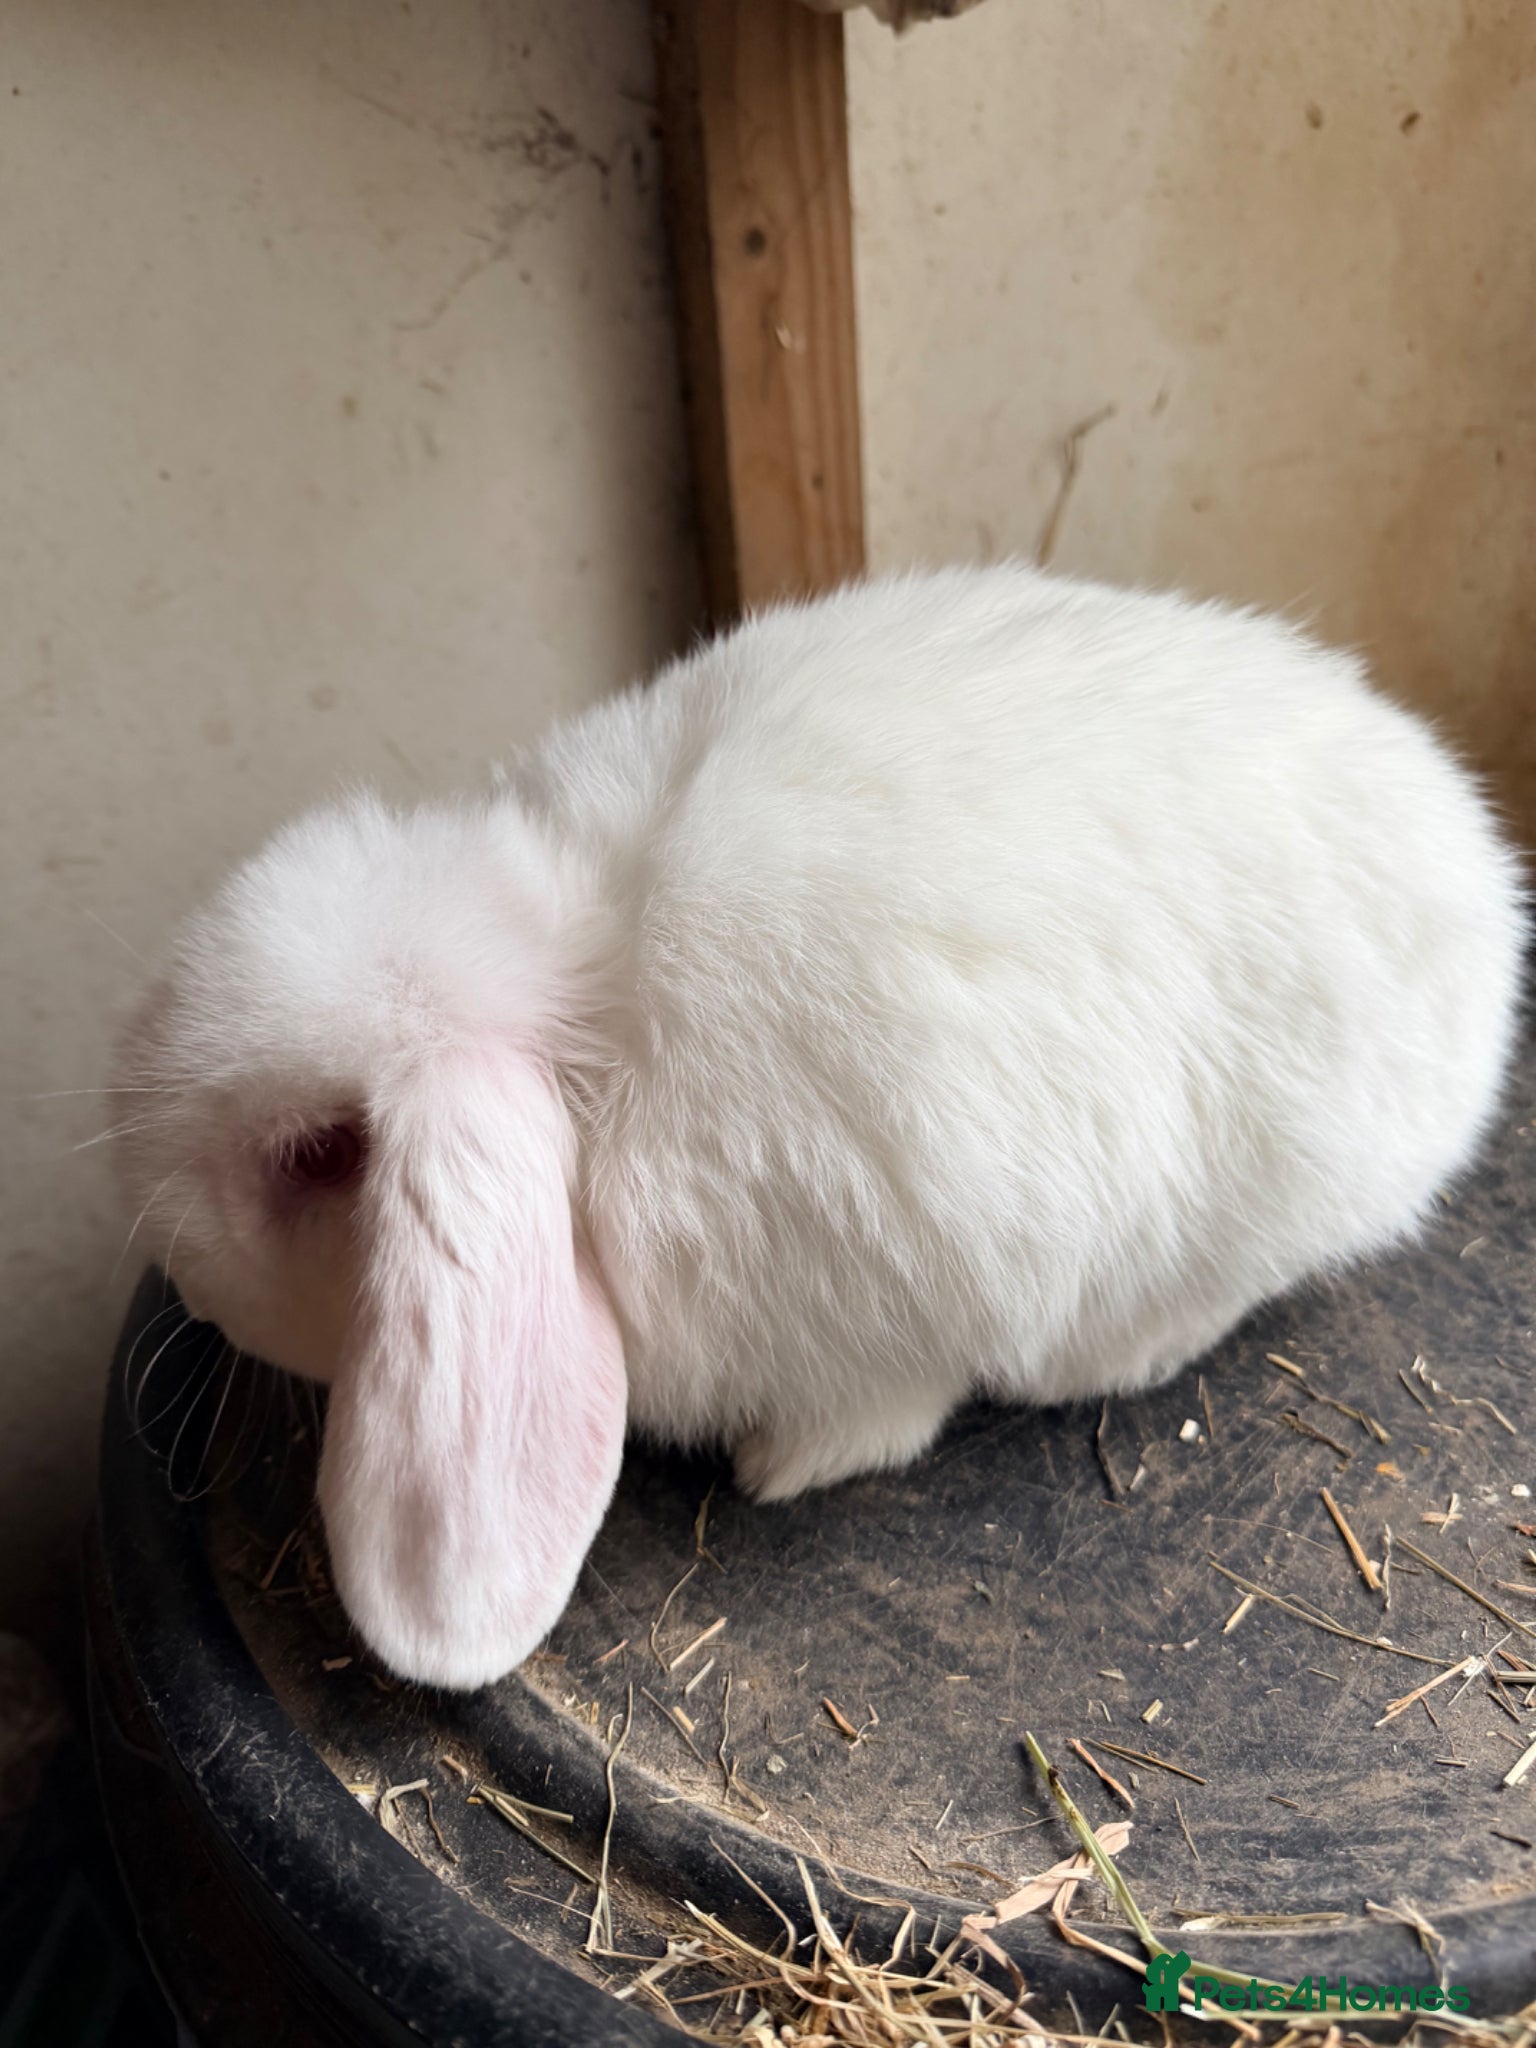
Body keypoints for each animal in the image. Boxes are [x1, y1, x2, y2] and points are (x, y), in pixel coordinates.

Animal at [114, 564, 1527, 1690]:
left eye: (320, 1158)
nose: (182, 1269)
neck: (586, 994)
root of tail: (1479, 874)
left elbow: (878, 1412)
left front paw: (780, 1466)